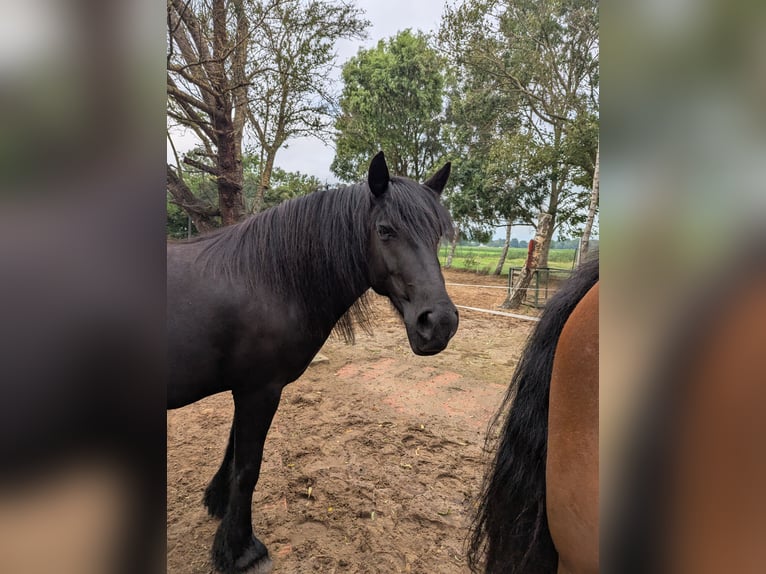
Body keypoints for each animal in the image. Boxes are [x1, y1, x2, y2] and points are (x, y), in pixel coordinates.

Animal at [167, 152, 459, 574]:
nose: (439, 324)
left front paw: (218, 505)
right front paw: (240, 550)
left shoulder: (246, 388)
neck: (266, 279)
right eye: (385, 230)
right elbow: (248, 468)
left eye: (437, 233)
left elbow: (233, 450)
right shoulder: (260, 390)